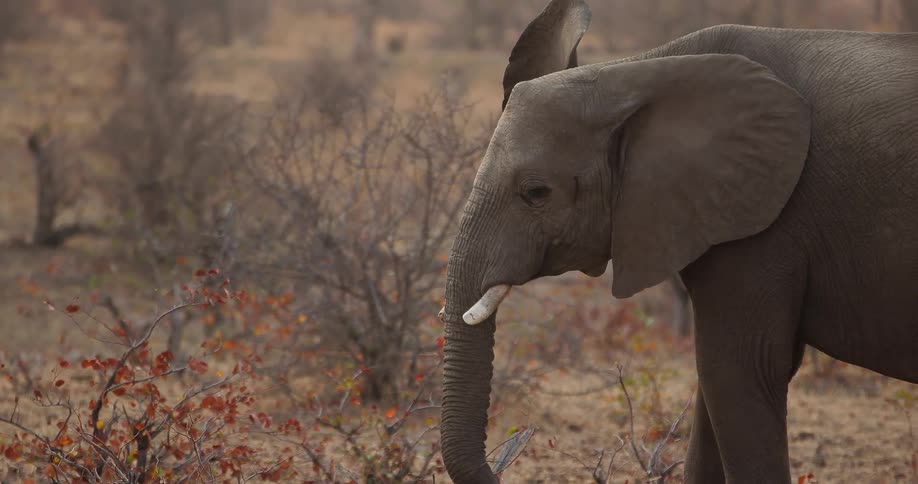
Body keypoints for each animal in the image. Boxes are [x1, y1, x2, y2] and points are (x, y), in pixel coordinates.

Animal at [437, 0, 918, 483]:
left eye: (536, 193)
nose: (518, 443)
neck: (638, 71)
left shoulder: (764, 223)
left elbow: (741, 369)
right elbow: (716, 389)